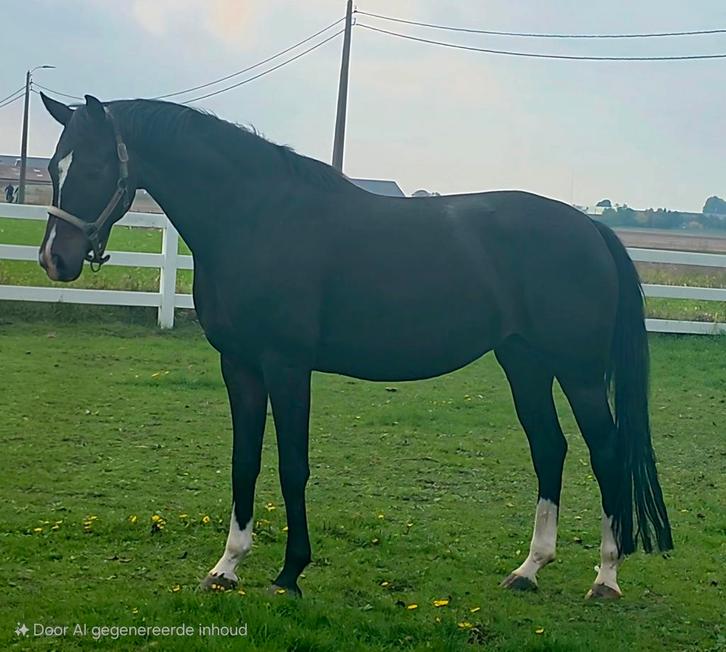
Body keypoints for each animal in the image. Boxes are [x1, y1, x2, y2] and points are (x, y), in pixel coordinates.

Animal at [37, 93, 673, 599]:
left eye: (95, 165)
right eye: (52, 165)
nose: (54, 259)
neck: (254, 217)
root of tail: (591, 229)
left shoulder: (287, 366)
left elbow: (292, 466)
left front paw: (290, 573)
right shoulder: (239, 366)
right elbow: (245, 461)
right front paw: (227, 566)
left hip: (578, 372)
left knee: (606, 451)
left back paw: (606, 577)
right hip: (525, 363)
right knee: (550, 449)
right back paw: (529, 569)